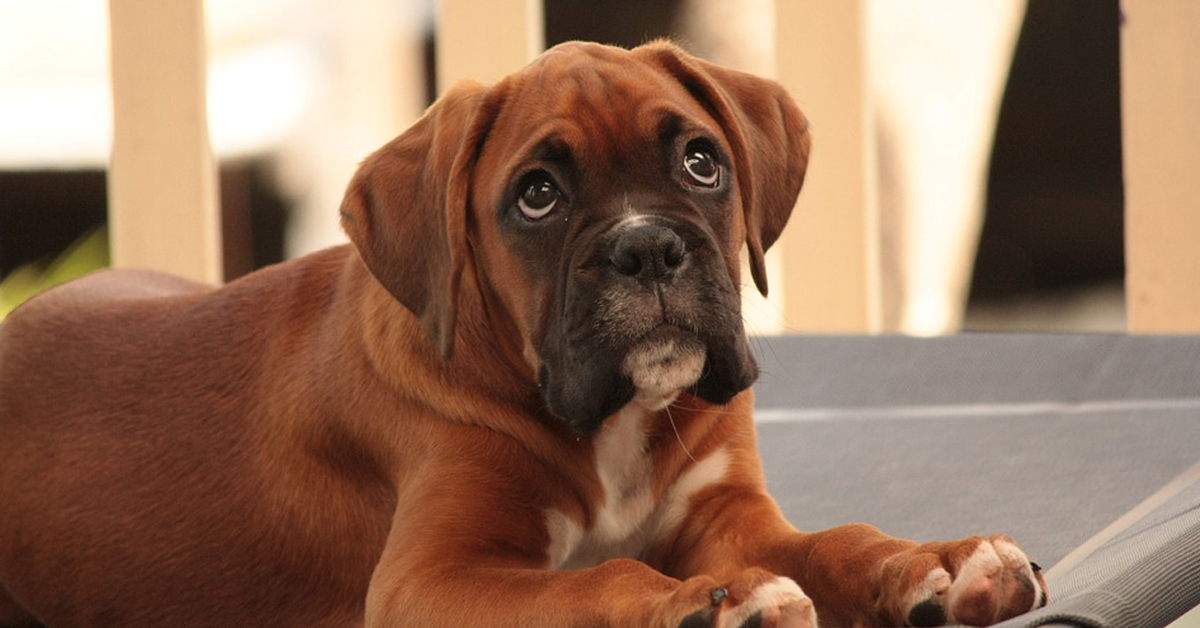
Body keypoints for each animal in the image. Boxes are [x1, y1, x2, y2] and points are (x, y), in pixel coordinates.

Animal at [0, 41, 1046, 624]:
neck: (611, 423)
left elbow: (837, 538)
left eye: (701, 162)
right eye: (536, 196)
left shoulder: (727, 518)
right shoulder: (429, 580)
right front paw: (705, 605)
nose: (648, 248)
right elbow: (592, 580)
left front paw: (939, 562)